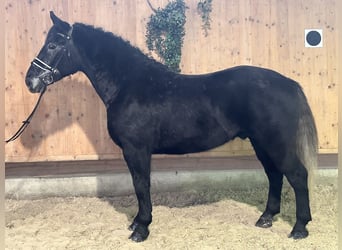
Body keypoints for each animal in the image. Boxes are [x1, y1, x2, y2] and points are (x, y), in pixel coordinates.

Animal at [24, 12, 318, 242]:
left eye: (53, 45)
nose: (31, 80)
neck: (128, 84)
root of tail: (289, 84)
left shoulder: (136, 149)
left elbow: (141, 184)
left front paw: (141, 228)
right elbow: (139, 185)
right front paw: (137, 222)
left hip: (275, 142)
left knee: (297, 175)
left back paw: (299, 228)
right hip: (261, 142)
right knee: (275, 175)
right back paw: (266, 218)